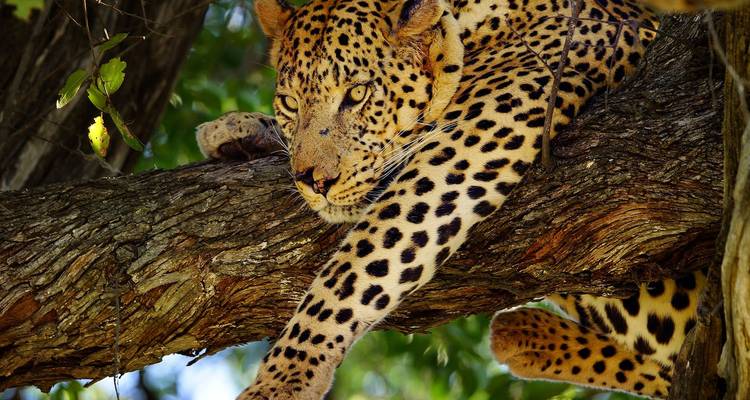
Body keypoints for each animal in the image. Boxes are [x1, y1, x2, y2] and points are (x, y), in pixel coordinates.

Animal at [195, 0, 708, 398]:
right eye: (290, 103)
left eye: (357, 94)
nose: (315, 181)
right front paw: (234, 128)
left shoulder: (463, 149)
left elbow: (352, 273)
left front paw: (284, 378)